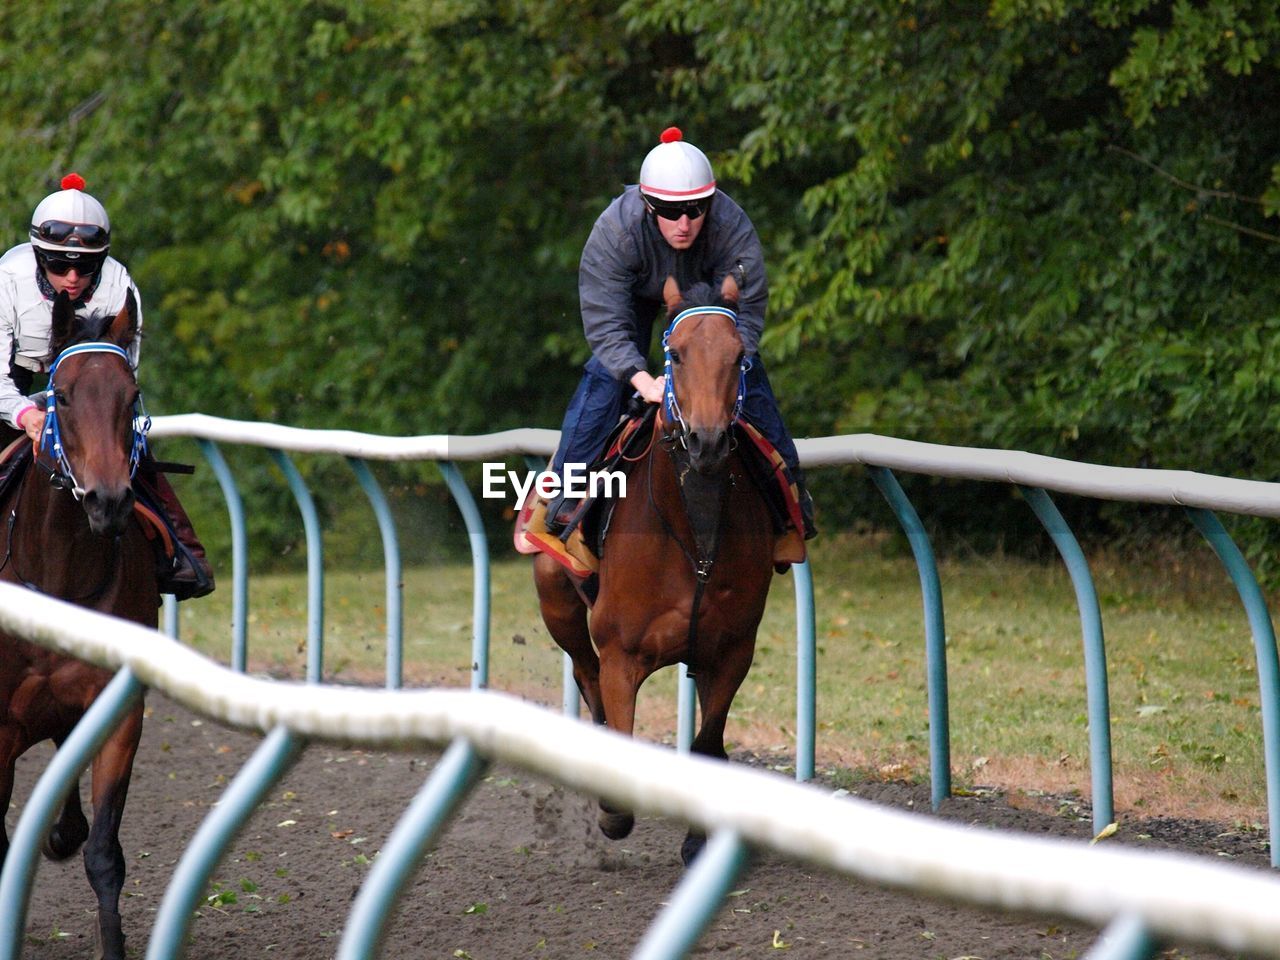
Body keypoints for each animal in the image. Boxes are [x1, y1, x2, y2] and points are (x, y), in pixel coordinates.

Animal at [532, 271, 773, 865]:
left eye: (739, 356)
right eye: (677, 354)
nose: (707, 441)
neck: (692, 534)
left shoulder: (731, 649)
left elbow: (708, 741)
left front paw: (699, 837)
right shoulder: (622, 654)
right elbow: (617, 720)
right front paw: (613, 811)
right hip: (558, 602)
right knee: (585, 672)